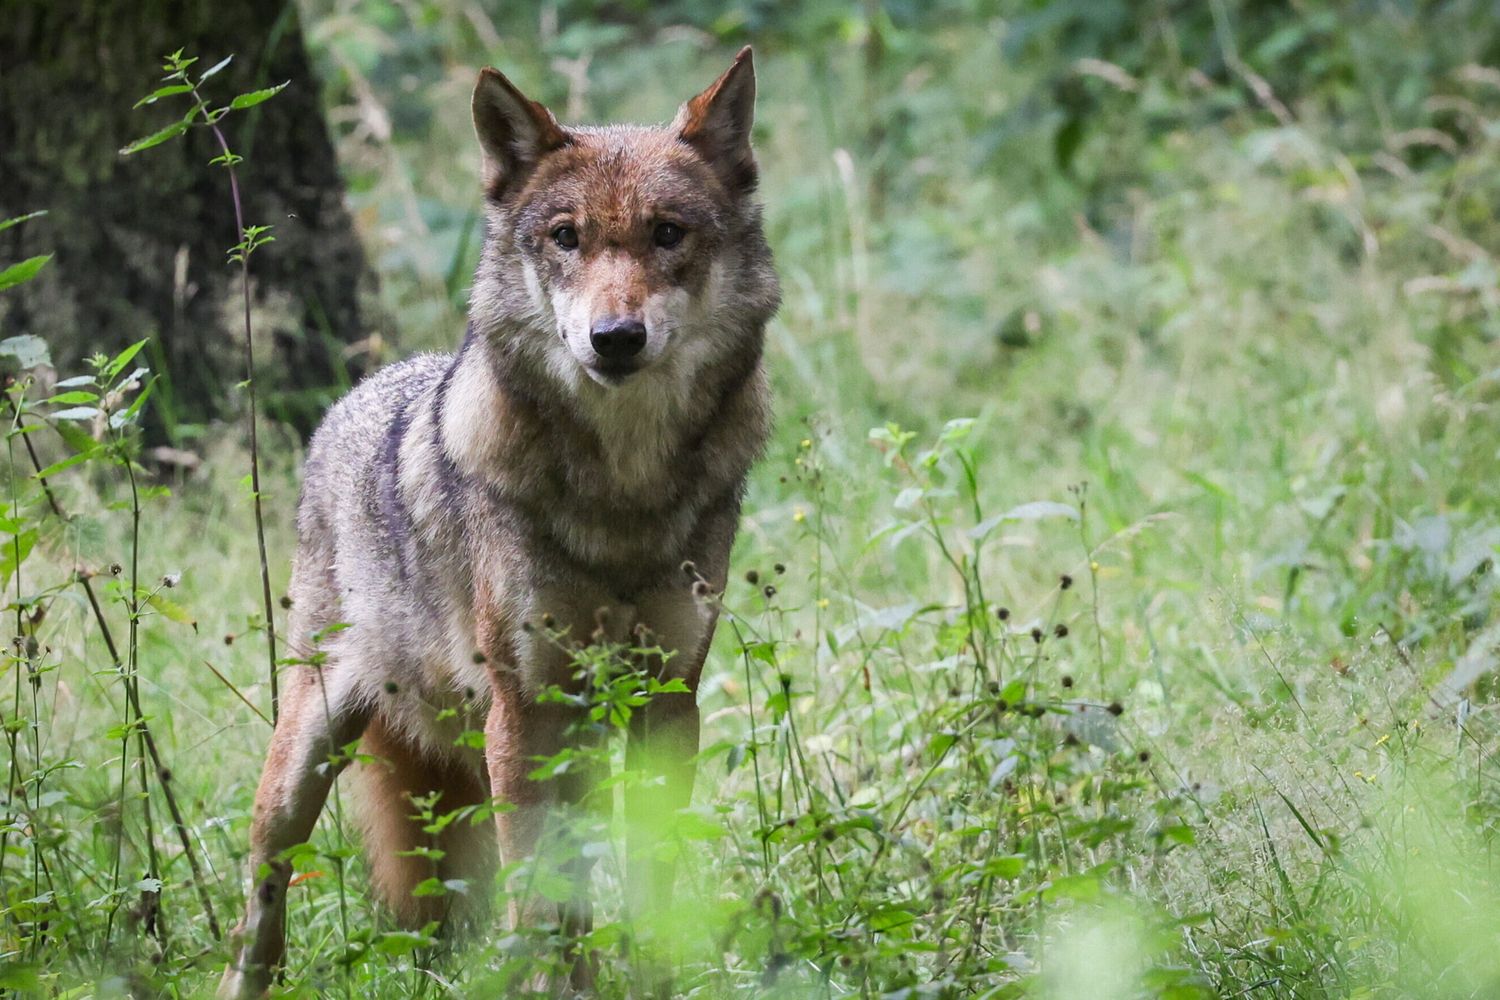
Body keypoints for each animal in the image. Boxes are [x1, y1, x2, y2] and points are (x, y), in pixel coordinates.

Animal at [218, 47, 777, 998]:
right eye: (565, 237)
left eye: (668, 233)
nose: (614, 337)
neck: (622, 493)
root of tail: (354, 398)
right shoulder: (522, 712)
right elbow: (536, 893)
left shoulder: (668, 701)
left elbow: (650, 878)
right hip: (306, 758)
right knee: (262, 896)